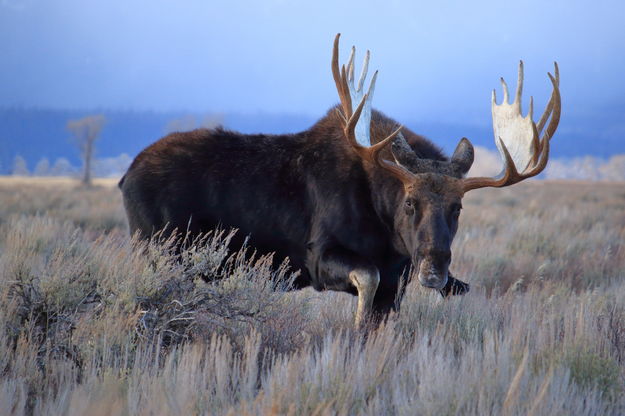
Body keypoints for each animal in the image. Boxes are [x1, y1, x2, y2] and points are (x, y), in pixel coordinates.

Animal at [119, 34, 560, 326]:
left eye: (458, 207)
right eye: (410, 202)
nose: (435, 270)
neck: (384, 227)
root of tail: (125, 176)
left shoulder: (398, 277)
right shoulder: (320, 258)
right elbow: (366, 280)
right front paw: (356, 327)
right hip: (159, 253)